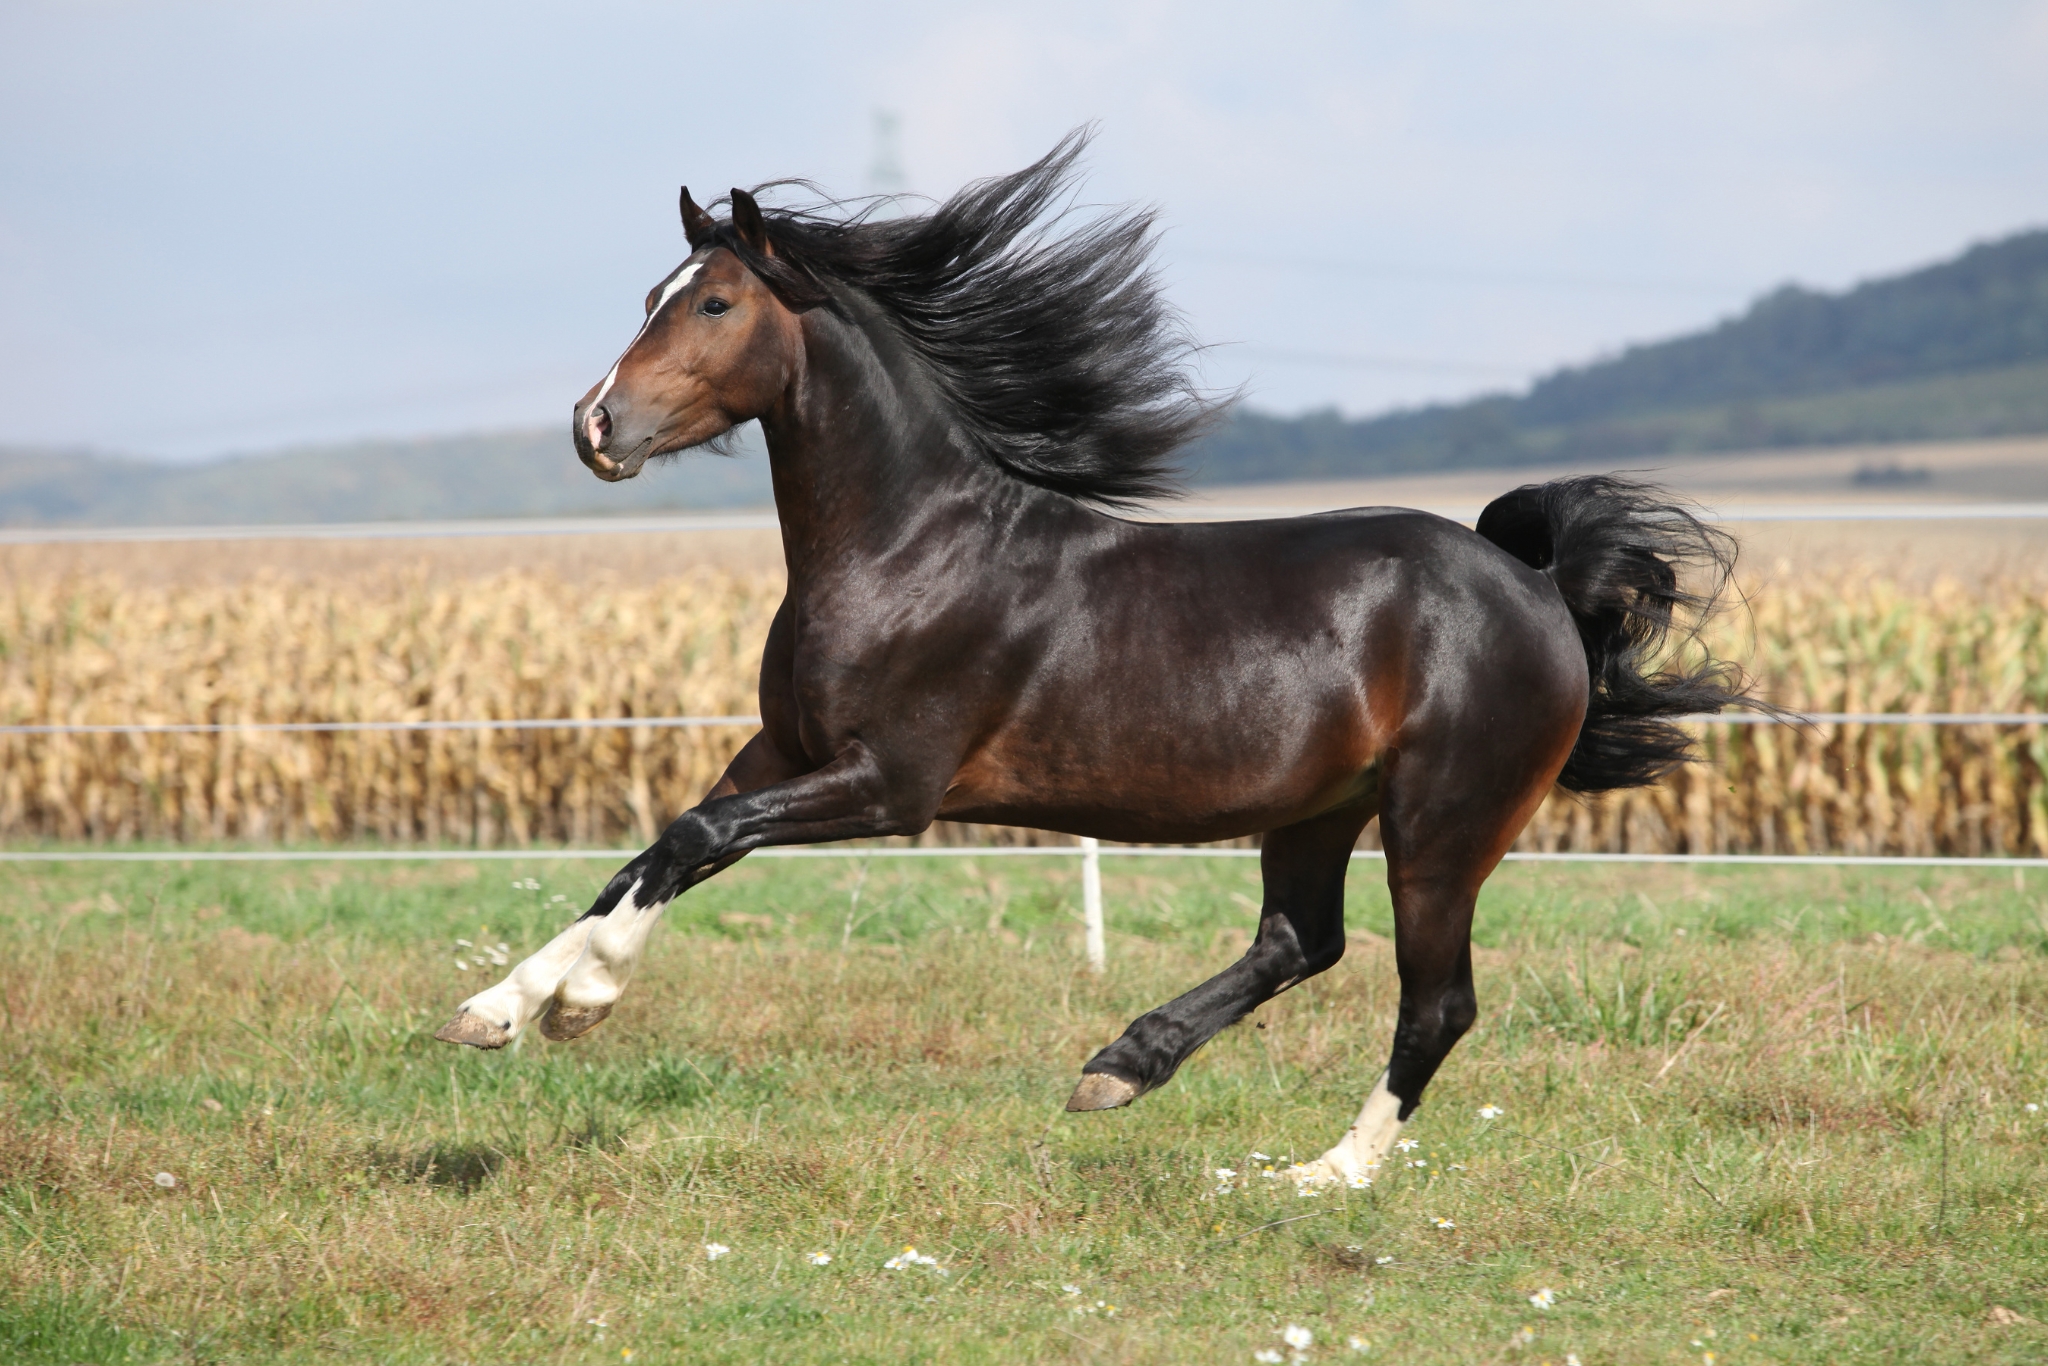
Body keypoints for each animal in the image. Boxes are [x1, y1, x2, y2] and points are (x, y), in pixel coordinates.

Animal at [435, 132, 1750, 1185]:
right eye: (650, 293)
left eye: (711, 306)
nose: (595, 426)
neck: (909, 546)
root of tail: (1535, 588)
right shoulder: (781, 749)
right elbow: (657, 849)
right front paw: (502, 1008)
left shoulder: (891, 784)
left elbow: (692, 839)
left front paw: (577, 1002)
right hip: (1322, 806)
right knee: (1299, 941)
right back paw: (1120, 1065)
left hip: (1442, 824)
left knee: (1433, 1002)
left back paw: (1322, 1173)